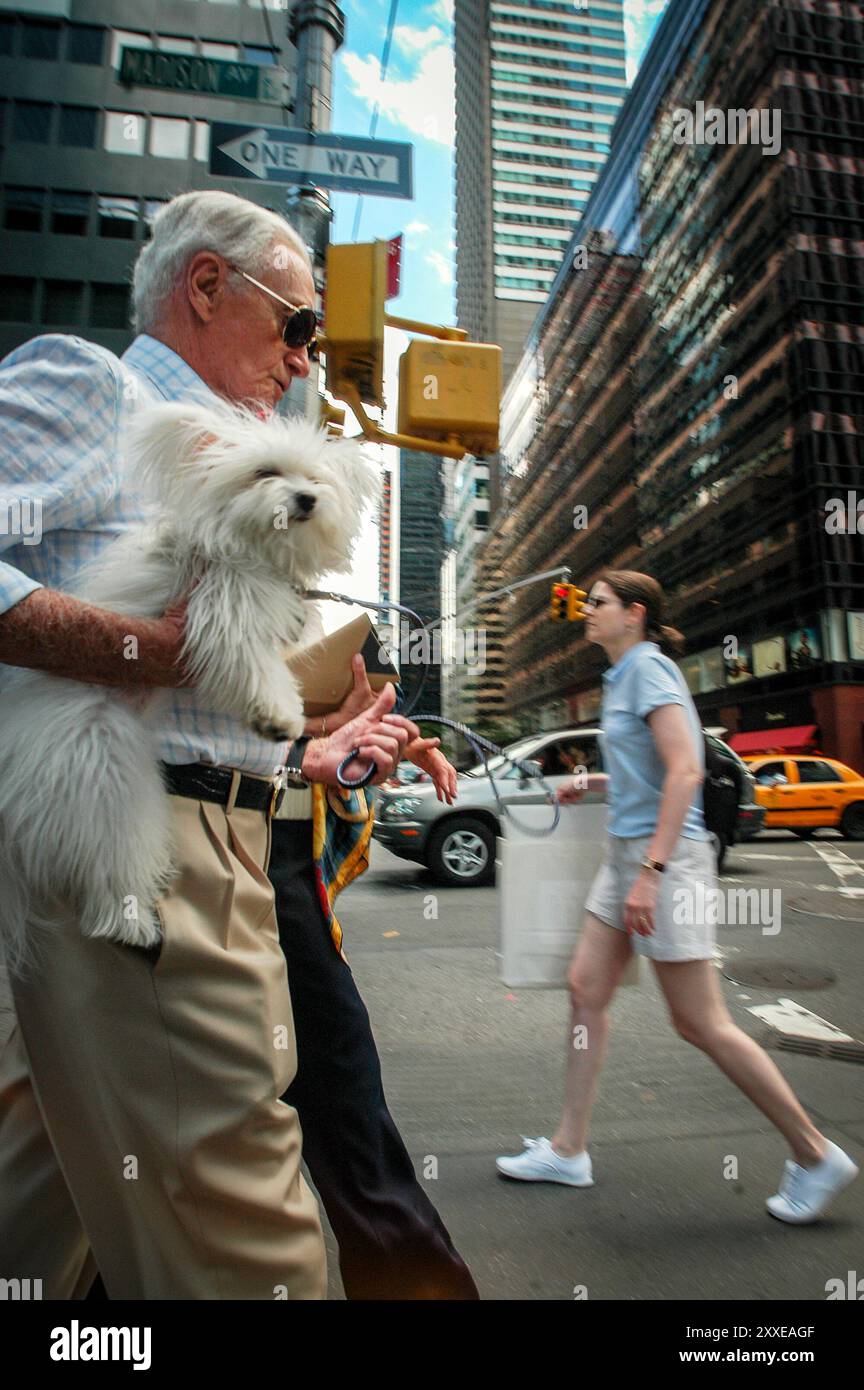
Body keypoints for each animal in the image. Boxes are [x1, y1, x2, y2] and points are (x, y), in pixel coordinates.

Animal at [0, 397, 377, 973]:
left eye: (316, 478)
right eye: (266, 473)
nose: (307, 498)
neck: (256, 550)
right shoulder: (221, 601)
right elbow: (249, 661)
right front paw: (278, 714)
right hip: (99, 766)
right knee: (107, 868)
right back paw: (131, 925)